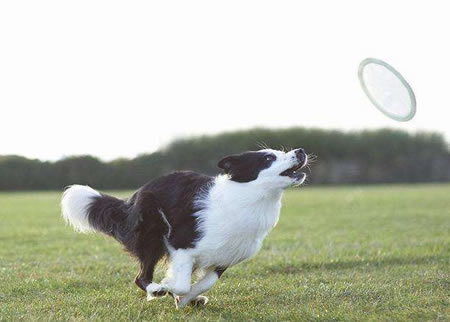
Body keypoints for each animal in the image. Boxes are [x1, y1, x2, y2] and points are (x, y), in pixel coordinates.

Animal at [61, 149, 308, 310]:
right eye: (268, 157)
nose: (301, 150)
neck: (249, 197)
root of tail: (132, 197)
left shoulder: (226, 255)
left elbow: (206, 282)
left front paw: (189, 298)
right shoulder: (182, 245)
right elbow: (180, 283)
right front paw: (172, 289)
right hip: (152, 232)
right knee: (141, 277)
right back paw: (155, 289)